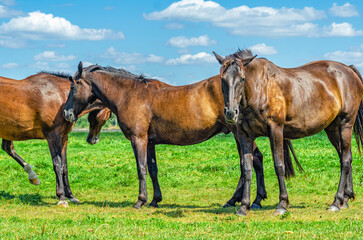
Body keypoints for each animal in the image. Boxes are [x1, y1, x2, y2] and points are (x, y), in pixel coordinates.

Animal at [0, 72, 111, 206]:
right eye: (109, 116)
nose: (92, 140)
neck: (61, 97)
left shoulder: (63, 138)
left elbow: (64, 166)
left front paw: (71, 196)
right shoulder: (52, 136)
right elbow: (57, 164)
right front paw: (62, 198)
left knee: (8, 148)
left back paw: (33, 176)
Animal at [62, 62, 302, 209]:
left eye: (73, 86)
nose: (66, 113)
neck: (132, 95)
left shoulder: (138, 139)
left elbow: (141, 169)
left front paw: (140, 201)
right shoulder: (150, 142)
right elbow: (152, 169)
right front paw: (155, 199)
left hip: (238, 133)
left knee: (253, 161)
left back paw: (244, 200)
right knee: (256, 161)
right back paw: (251, 200)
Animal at [213, 48, 363, 216]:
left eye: (242, 78)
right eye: (222, 79)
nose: (231, 113)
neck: (260, 88)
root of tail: (349, 70)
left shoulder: (276, 130)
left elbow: (279, 166)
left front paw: (282, 204)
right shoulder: (244, 135)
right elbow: (246, 169)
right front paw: (244, 206)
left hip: (345, 124)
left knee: (345, 160)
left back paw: (336, 202)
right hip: (332, 129)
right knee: (346, 156)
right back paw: (346, 198)